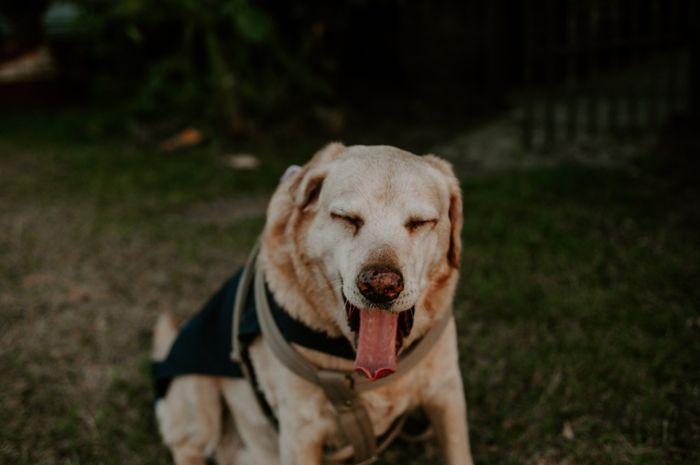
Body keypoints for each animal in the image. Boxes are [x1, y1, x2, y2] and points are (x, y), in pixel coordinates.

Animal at [150, 143, 474, 462]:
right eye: (346, 218)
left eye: (420, 223)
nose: (381, 286)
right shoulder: (301, 431)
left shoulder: (447, 393)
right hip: (197, 396)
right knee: (187, 445)